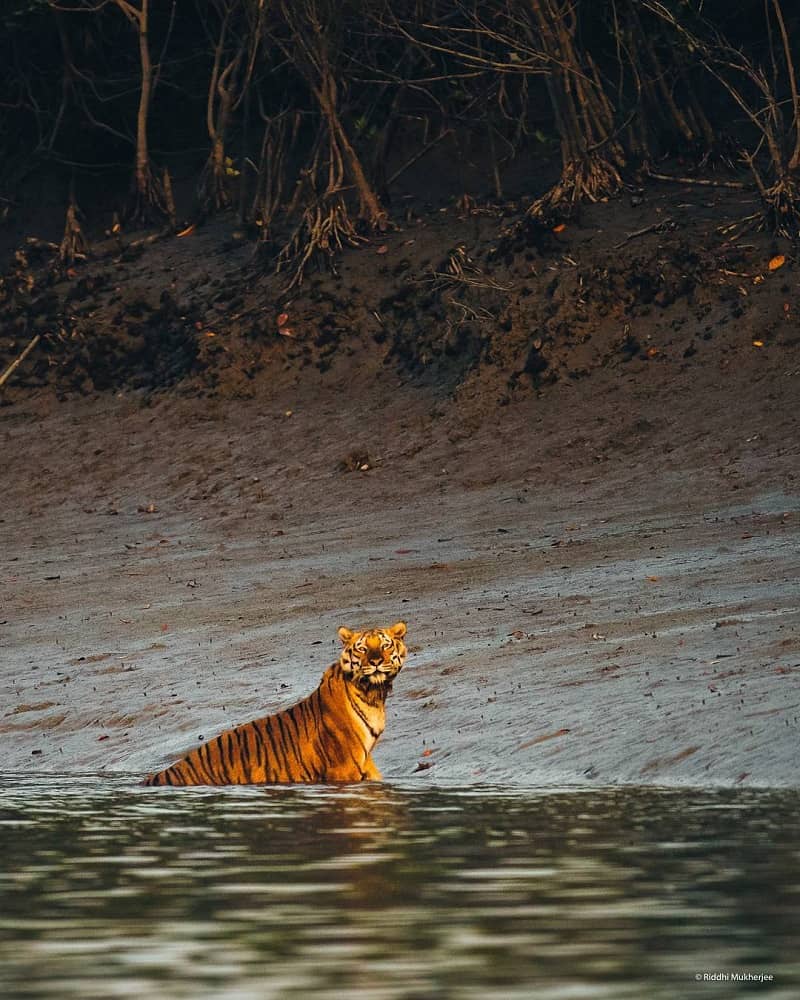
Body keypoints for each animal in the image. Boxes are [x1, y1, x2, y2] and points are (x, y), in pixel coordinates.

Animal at [142, 620, 406, 784]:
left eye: (385, 645)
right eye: (362, 649)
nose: (375, 661)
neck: (373, 694)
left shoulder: (364, 763)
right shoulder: (343, 768)